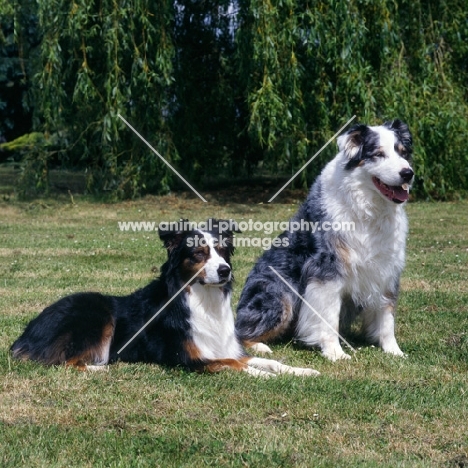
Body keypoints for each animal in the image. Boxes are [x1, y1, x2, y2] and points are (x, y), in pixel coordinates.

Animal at [11, 219, 320, 376]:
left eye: (223, 251)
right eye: (199, 254)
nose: (225, 270)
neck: (201, 299)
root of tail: (27, 332)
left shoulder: (225, 348)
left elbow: (260, 361)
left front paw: (300, 371)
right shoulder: (189, 359)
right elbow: (235, 366)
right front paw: (264, 376)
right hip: (97, 315)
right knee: (65, 362)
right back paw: (101, 368)